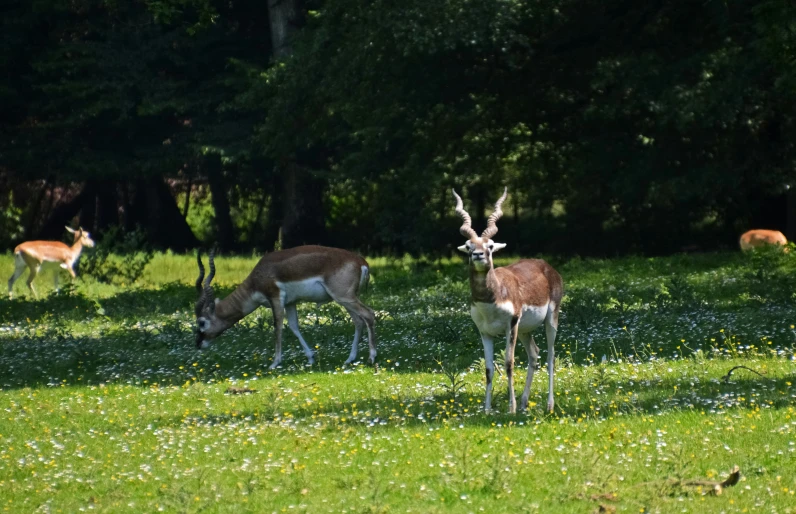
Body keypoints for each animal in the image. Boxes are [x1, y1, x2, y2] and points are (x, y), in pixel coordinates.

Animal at [194, 246, 378, 366]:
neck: (258, 278)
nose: (199, 344)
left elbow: (278, 327)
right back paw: (350, 359)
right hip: (345, 299)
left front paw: (274, 363)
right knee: (358, 321)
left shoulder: (276, 298)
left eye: (202, 322)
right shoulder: (290, 303)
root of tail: (361, 261)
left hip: (344, 297)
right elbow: (294, 326)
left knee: (369, 314)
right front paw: (310, 358)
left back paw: (371, 357)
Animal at [450, 188, 564, 412]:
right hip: (525, 330)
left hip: (550, 319)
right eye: (468, 245)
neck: (491, 301)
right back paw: (524, 403)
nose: (478, 255)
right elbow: (488, 369)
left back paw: (549, 405)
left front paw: (510, 409)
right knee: (534, 354)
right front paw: (487, 410)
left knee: (550, 356)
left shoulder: (510, 326)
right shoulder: (484, 331)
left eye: (490, 245)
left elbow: (509, 363)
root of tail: (546, 266)